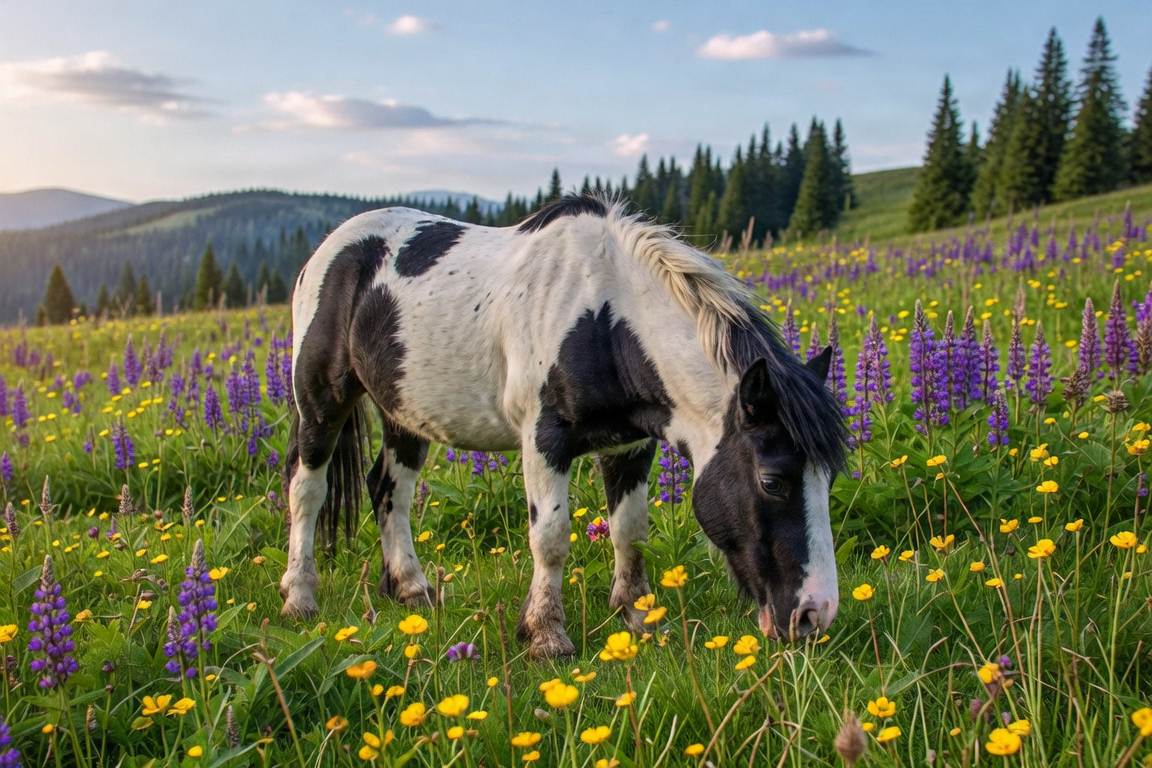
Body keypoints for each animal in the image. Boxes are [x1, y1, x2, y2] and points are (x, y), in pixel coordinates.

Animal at [281, 194, 847, 659]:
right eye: (772, 482)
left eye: (829, 478)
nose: (814, 615)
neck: (600, 319)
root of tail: (328, 249)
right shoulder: (543, 441)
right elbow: (550, 537)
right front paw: (546, 635)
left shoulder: (630, 447)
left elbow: (630, 532)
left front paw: (639, 617)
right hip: (321, 404)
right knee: (306, 491)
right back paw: (300, 598)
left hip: (405, 414)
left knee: (388, 492)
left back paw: (413, 590)